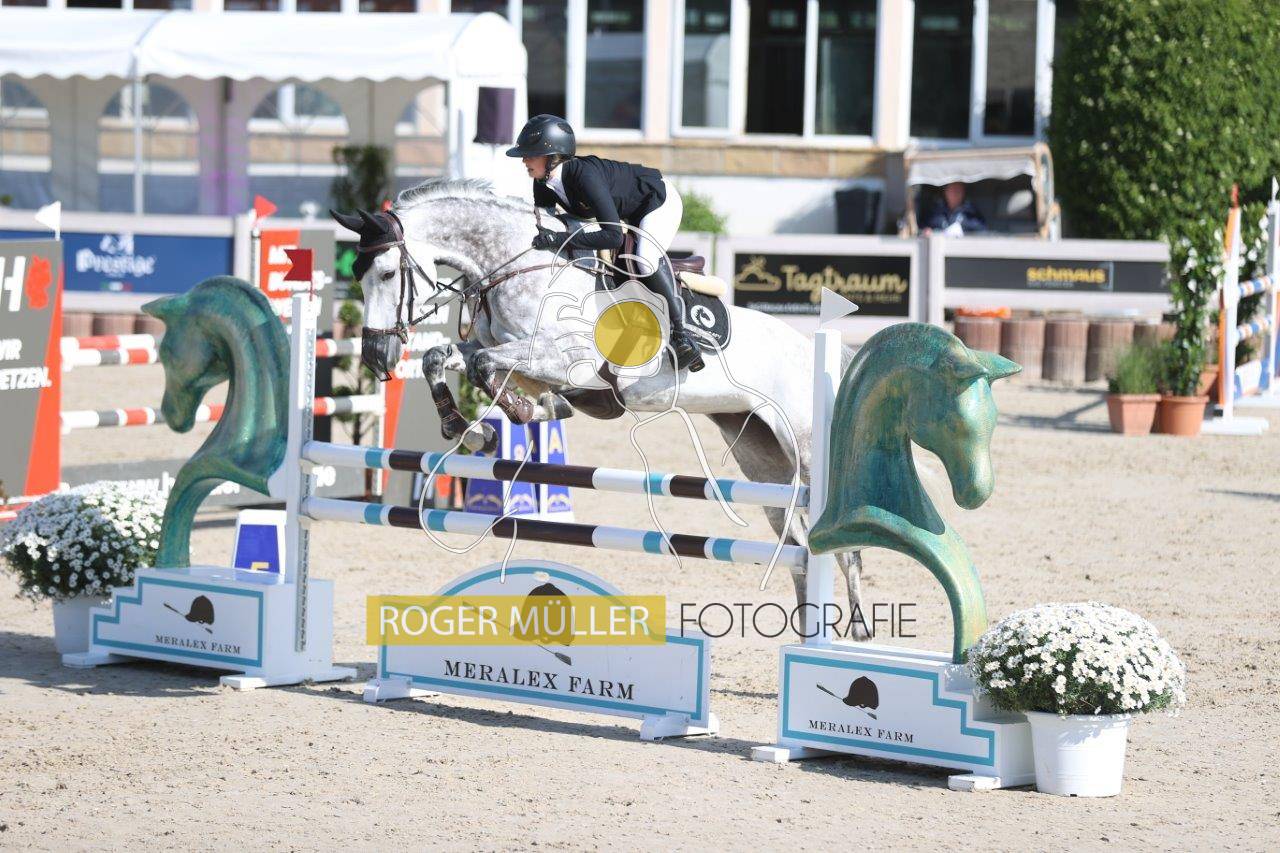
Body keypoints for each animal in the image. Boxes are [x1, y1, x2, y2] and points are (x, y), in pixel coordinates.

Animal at [331, 178, 866, 620]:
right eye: (355, 273)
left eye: (385, 273)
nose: (376, 357)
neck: (522, 268)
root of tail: (813, 349)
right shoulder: (503, 349)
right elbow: (442, 357)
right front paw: (469, 429)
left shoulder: (565, 360)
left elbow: (488, 366)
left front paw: (528, 409)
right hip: (760, 453)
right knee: (796, 545)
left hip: (804, 449)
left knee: (841, 546)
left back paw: (854, 629)